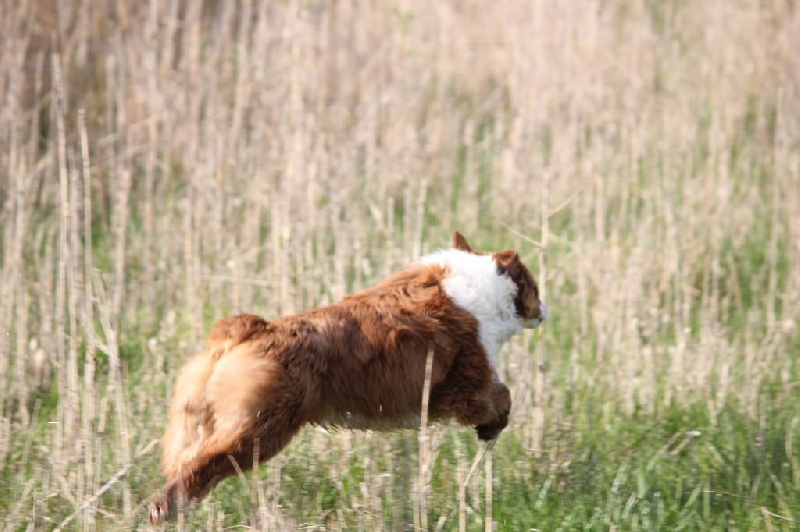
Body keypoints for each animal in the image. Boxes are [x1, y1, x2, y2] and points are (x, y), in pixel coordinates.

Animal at [148, 232, 552, 524]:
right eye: (534, 286)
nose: (546, 309)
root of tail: (251, 331)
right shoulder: (465, 381)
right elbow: (500, 395)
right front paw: (492, 426)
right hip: (261, 428)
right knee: (203, 467)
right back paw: (166, 510)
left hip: (198, 420)